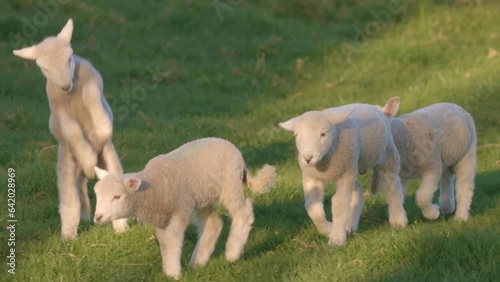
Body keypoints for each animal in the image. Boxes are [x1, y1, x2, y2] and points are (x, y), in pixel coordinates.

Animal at [13, 18, 128, 238]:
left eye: (68, 59)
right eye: (45, 69)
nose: (65, 86)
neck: (72, 93)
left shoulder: (93, 86)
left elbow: (92, 97)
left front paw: (100, 133)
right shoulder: (59, 113)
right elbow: (72, 131)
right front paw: (89, 159)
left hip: (110, 159)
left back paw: (121, 227)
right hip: (66, 165)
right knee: (71, 200)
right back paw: (69, 236)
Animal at [92, 137, 276, 280]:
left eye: (117, 197)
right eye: (97, 196)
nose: (97, 218)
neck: (154, 187)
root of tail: (237, 153)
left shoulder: (180, 210)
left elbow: (172, 239)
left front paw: (173, 273)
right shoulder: (163, 218)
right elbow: (165, 241)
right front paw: (170, 269)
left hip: (230, 186)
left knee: (243, 212)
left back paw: (232, 253)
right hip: (203, 197)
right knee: (213, 224)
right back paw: (198, 262)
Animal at [280, 98, 408, 245]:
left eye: (323, 134)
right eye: (297, 135)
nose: (307, 158)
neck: (324, 163)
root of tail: (379, 109)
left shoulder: (345, 175)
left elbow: (339, 203)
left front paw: (337, 238)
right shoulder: (312, 177)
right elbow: (313, 207)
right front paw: (328, 229)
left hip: (385, 155)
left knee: (392, 187)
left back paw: (398, 219)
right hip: (353, 167)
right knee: (358, 191)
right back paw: (349, 225)